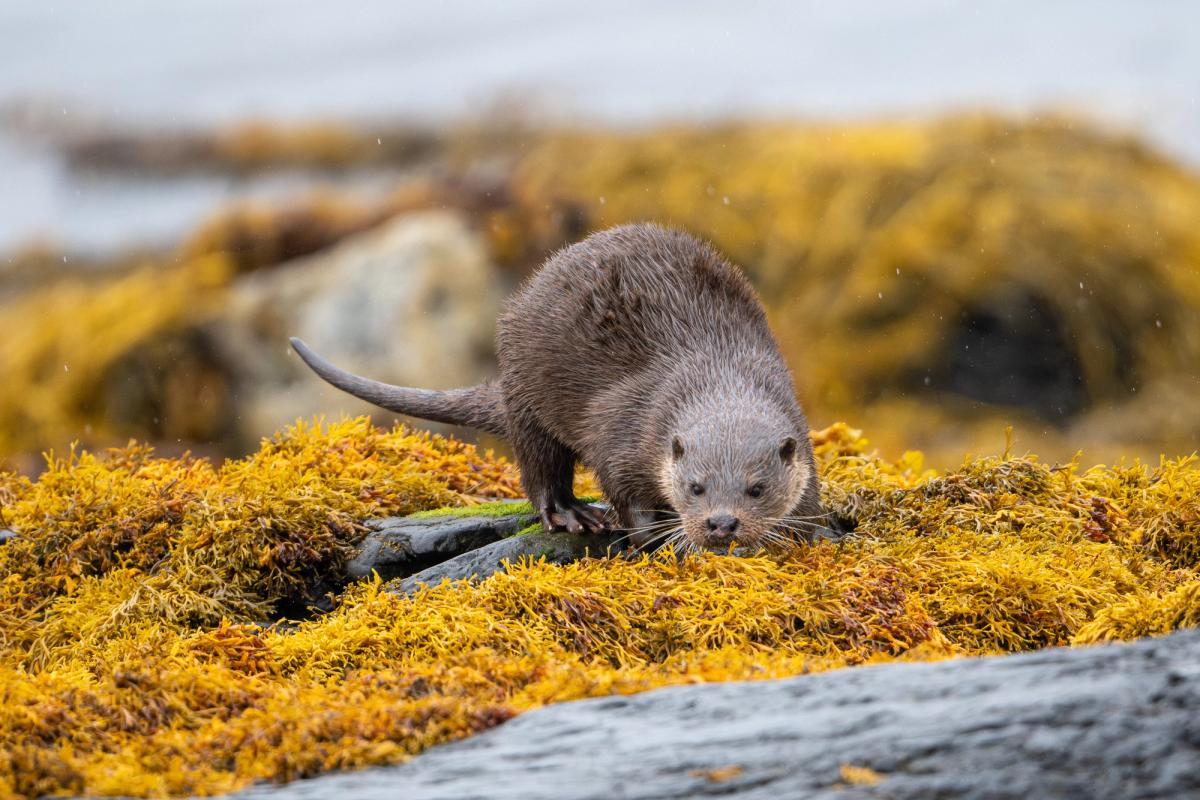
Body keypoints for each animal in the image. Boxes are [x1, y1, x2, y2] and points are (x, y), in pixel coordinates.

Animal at [288, 225, 825, 551]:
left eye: (756, 489)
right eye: (695, 487)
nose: (721, 523)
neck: (715, 369)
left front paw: (809, 532)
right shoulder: (625, 431)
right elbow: (623, 489)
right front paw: (653, 537)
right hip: (528, 396)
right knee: (540, 468)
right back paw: (571, 515)